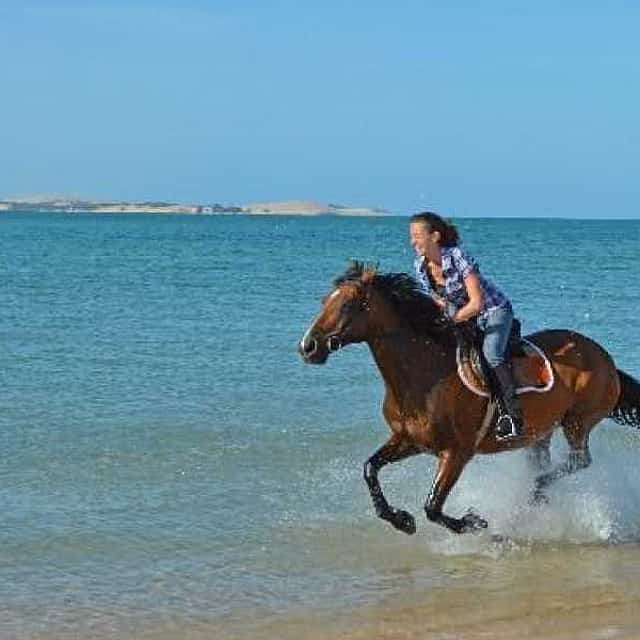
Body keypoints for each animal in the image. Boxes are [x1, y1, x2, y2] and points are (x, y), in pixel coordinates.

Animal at [298, 262, 640, 535]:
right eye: (323, 301)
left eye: (348, 305)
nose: (308, 347)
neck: (425, 376)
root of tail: (605, 358)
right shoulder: (408, 440)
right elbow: (370, 469)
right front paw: (400, 520)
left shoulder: (457, 453)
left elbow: (432, 505)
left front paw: (473, 522)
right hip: (540, 432)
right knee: (545, 461)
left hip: (578, 422)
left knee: (579, 460)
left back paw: (535, 493)